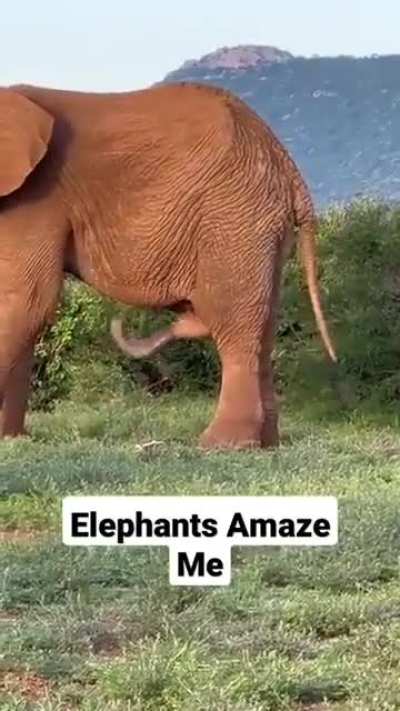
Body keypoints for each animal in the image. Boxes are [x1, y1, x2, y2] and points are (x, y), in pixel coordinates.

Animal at [0, 81, 336, 448]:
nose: (118, 322)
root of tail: (285, 161)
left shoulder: (39, 198)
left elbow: (27, 300)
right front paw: (11, 439)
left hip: (234, 216)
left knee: (235, 321)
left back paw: (221, 444)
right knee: (264, 325)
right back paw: (265, 443)